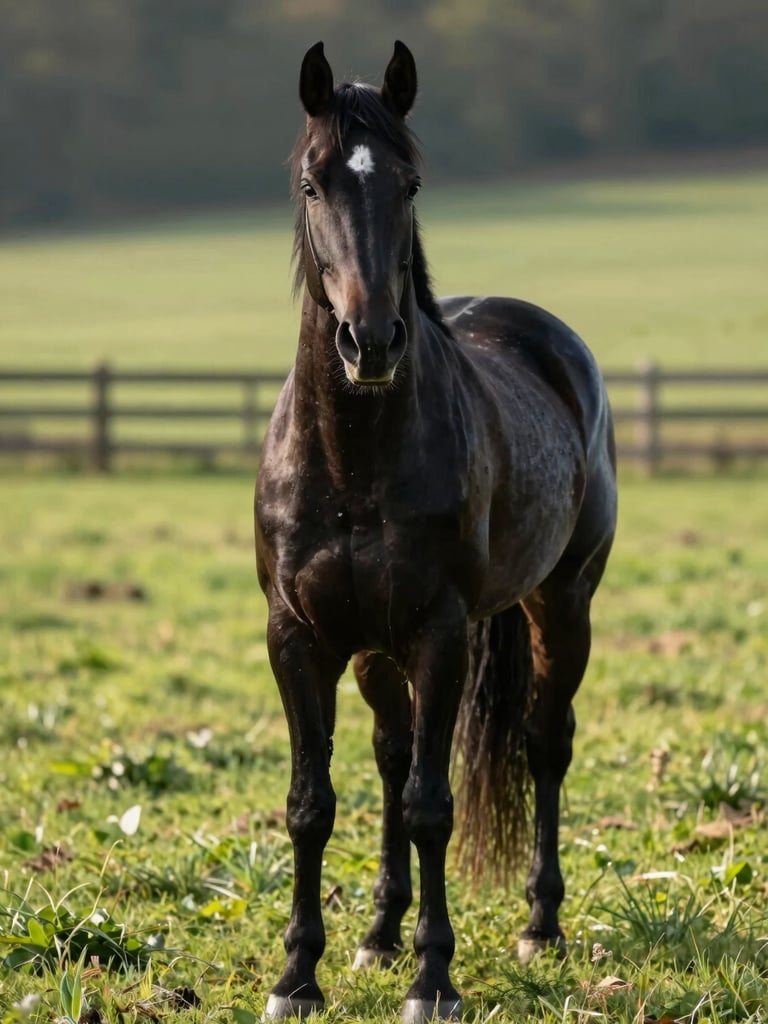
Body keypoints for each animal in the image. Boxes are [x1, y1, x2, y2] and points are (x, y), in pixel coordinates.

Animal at [254, 41, 617, 1022]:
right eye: (312, 182)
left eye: (410, 183)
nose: (371, 341)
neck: (353, 459)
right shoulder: (298, 637)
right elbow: (312, 803)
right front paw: (299, 976)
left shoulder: (441, 633)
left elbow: (431, 805)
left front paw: (435, 980)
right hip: (376, 651)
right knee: (388, 755)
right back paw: (378, 934)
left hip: (562, 605)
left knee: (544, 742)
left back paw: (540, 925)